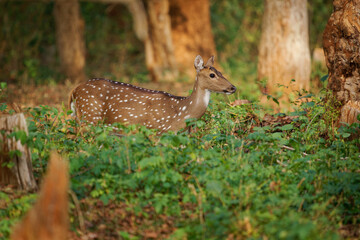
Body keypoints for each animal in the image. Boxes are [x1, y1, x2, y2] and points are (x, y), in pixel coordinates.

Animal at [69, 55, 238, 132]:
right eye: (212, 75)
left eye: (221, 72)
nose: (233, 88)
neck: (181, 113)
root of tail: (74, 91)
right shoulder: (156, 130)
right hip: (89, 117)